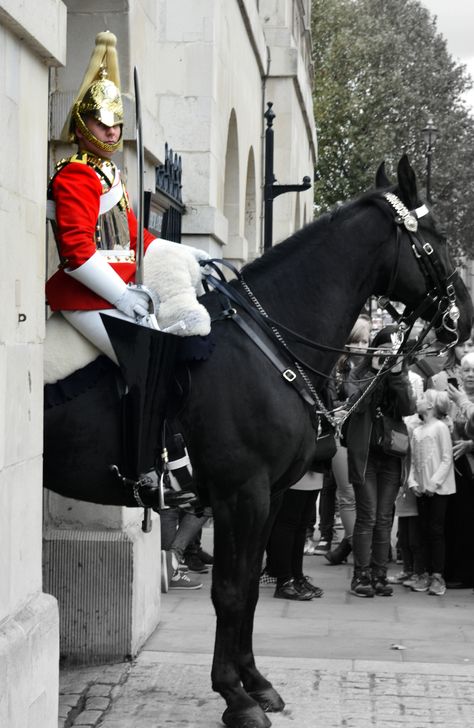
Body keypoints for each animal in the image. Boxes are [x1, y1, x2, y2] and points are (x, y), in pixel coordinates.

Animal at [43, 155, 470, 728]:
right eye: (436, 237)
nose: (465, 315)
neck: (269, 343)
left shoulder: (267, 495)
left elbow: (246, 588)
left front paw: (256, 682)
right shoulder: (239, 495)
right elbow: (228, 590)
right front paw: (235, 697)